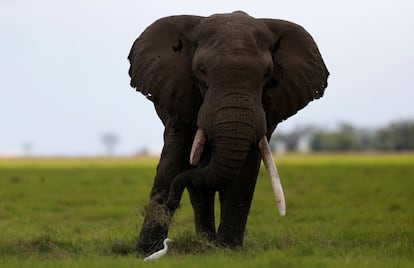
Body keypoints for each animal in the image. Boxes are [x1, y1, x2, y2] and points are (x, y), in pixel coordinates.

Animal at [128, 11, 328, 253]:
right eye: (202, 71)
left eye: (267, 74)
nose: (171, 200)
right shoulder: (180, 93)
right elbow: (174, 159)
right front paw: (146, 252)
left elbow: (245, 168)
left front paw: (227, 250)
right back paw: (203, 242)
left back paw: (208, 243)